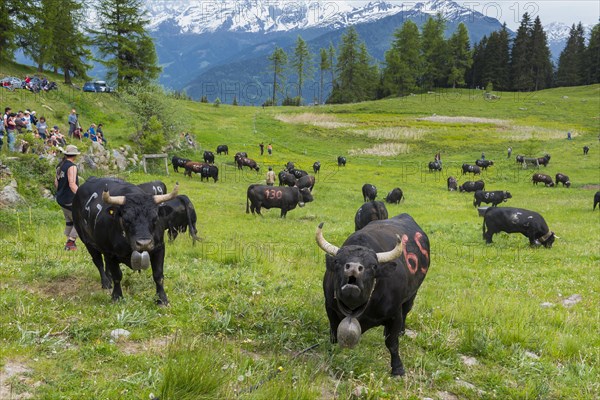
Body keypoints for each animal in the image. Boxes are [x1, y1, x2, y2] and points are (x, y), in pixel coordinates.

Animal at [316, 214, 428, 376]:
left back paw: (401, 332)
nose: (353, 268)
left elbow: (392, 343)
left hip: (412, 295)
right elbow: (334, 335)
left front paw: (398, 368)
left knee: (406, 311)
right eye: (337, 261)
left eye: (374, 266)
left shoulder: (395, 314)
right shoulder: (330, 308)